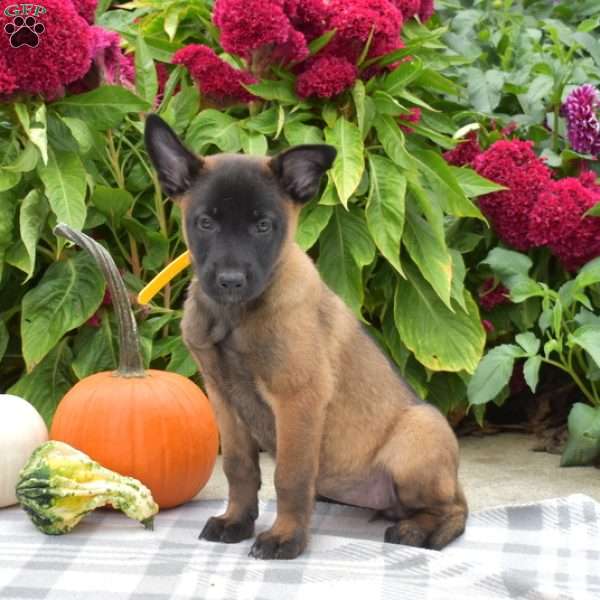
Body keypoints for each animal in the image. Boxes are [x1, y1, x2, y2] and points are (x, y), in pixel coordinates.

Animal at [145, 115, 468, 560]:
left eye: (263, 226)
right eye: (205, 223)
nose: (230, 281)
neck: (235, 316)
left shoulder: (298, 399)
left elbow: (290, 477)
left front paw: (286, 537)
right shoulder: (224, 398)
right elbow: (239, 468)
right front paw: (236, 521)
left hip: (418, 435)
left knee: (454, 509)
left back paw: (419, 531)